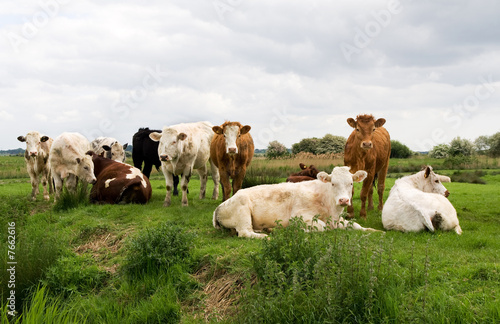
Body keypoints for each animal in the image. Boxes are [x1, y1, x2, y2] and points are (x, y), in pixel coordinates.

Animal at [212, 167, 378, 238]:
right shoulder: (299, 217)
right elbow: (322, 227)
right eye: (333, 184)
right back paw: (267, 235)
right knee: (244, 232)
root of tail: (220, 206)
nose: (343, 200)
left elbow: (356, 225)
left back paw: (266, 230)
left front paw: (373, 230)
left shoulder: (337, 220)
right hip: (242, 210)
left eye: (351, 183)